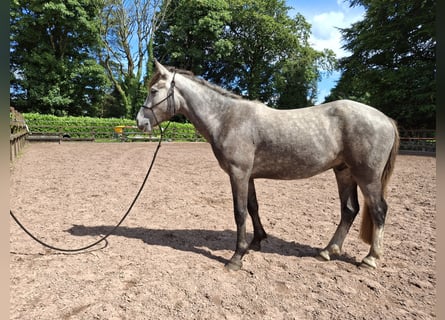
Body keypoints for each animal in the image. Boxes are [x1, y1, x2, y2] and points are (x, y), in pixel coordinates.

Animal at [136, 61, 398, 272]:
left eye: (153, 91)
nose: (140, 122)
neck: (227, 118)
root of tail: (386, 119)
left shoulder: (238, 174)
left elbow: (240, 212)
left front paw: (237, 256)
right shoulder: (248, 176)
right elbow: (253, 207)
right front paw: (257, 241)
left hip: (367, 177)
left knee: (378, 210)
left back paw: (371, 258)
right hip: (344, 172)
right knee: (349, 210)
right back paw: (328, 251)